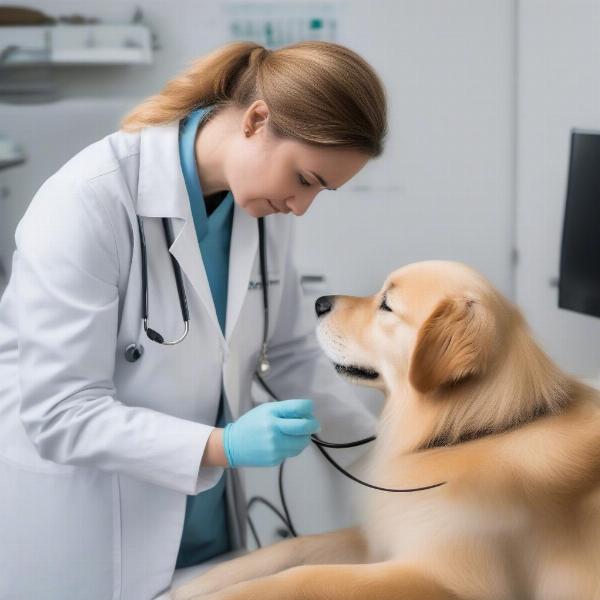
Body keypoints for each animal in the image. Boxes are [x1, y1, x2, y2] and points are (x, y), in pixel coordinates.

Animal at [173, 258, 600, 600]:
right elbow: (293, 548)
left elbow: (306, 577)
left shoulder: (451, 580)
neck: (473, 431)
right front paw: (203, 581)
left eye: (387, 305)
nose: (318, 303)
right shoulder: (381, 535)